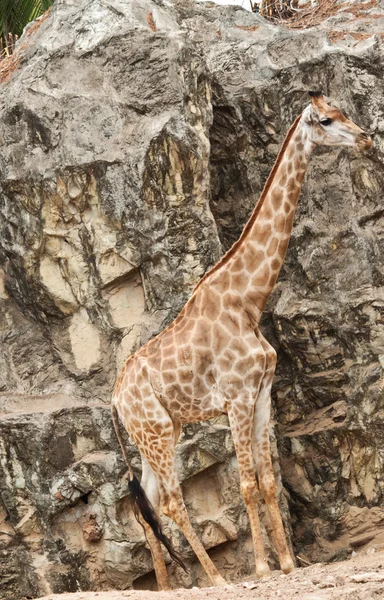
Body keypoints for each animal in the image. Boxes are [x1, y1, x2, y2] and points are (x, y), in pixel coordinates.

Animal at [112, 92, 372, 592]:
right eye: (326, 120)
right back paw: (215, 578)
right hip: (156, 433)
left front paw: (288, 563)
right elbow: (248, 484)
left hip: (160, 432)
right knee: (171, 501)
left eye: (345, 111)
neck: (249, 300)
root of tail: (113, 402)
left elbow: (268, 481)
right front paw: (263, 567)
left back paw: (168, 587)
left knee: (147, 504)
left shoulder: (263, 392)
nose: (368, 137)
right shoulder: (235, 397)